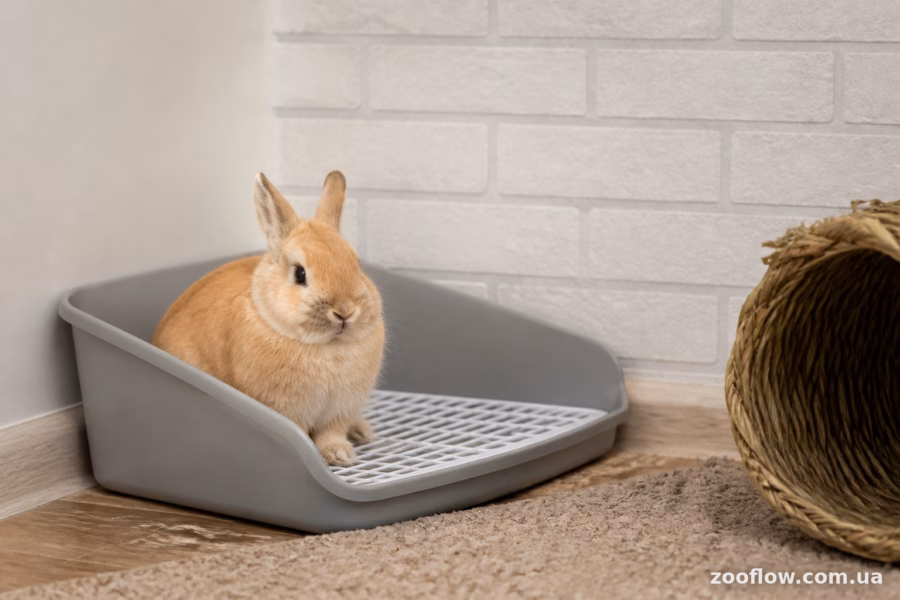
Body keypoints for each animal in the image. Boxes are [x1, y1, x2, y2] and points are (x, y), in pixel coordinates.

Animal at [152, 171, 385, 467]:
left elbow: (330, 434)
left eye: (356, 265)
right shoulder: (288, 410)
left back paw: (362, 432)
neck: (326, 346)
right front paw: (336, 458)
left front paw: (340, 455)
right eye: (299, 273)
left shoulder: (339, 410)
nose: (345, 311)